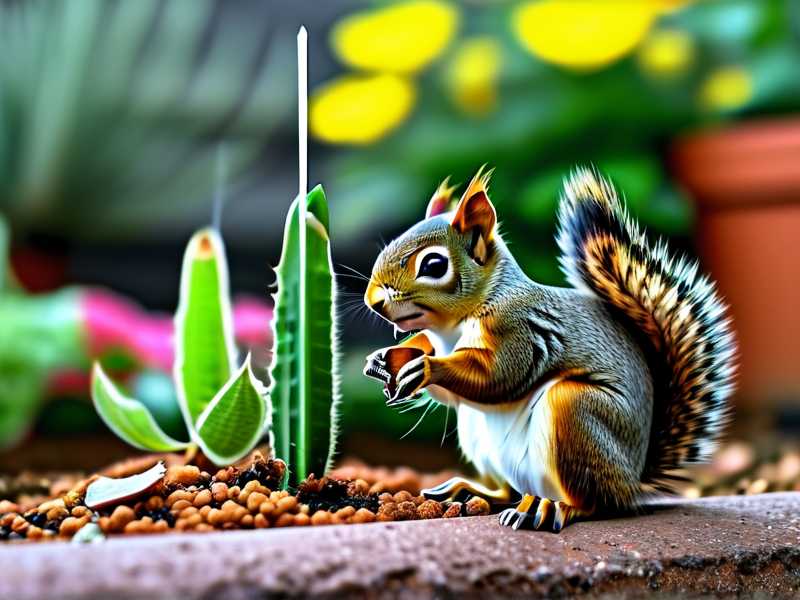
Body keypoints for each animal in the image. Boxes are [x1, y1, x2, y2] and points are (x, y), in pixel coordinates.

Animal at [362, 166, 736, 532]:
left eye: (433, 265)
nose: (373, 301)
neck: (452, 328)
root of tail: (633, 482)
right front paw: (383, 358)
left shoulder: (520, 329)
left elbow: (498, 377)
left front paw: (425, 367)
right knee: (508, 491)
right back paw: (470, 490)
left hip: (575, 411)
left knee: (597, 503)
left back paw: (552, 507)